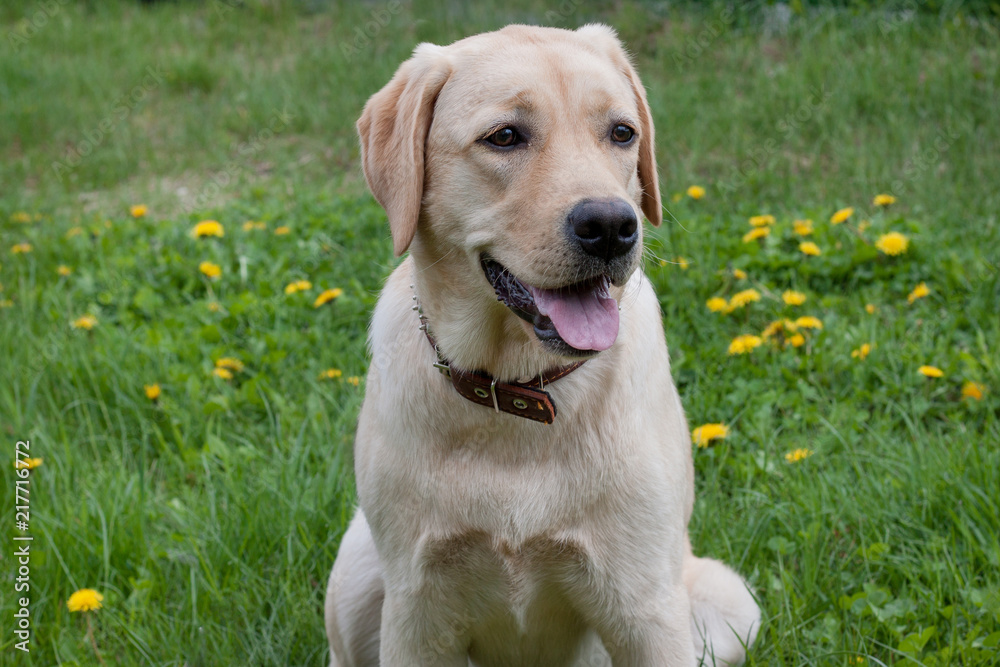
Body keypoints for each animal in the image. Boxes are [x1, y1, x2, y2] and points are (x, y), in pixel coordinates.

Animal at [326, 22, 756, 667]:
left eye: (622, 132)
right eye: (504, 137)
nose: (612, 226)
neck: (520, 392)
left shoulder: (646, 607)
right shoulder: (418, 609)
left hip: (728, 603)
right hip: (359, 574)